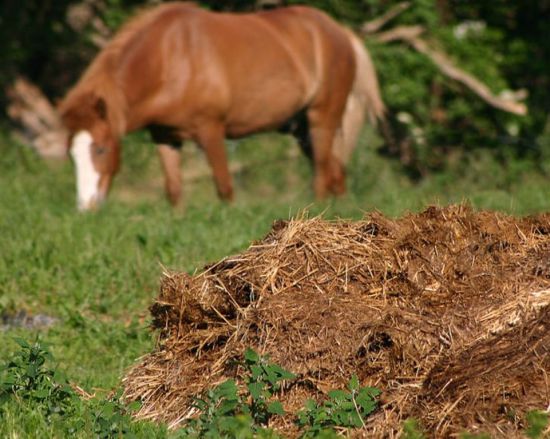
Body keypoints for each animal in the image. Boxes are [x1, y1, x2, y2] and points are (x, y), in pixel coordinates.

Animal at [58, 1, 386, 211]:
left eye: (101, 149)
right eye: (72, 155)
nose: (86, 206)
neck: (170, 59)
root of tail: (341, 32)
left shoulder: (211, 130)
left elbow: (224, 187)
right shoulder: (165, 137)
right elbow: (174, 191)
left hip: (322, 118)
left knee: (321, 172)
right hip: (301, 128)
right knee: (335, 171)